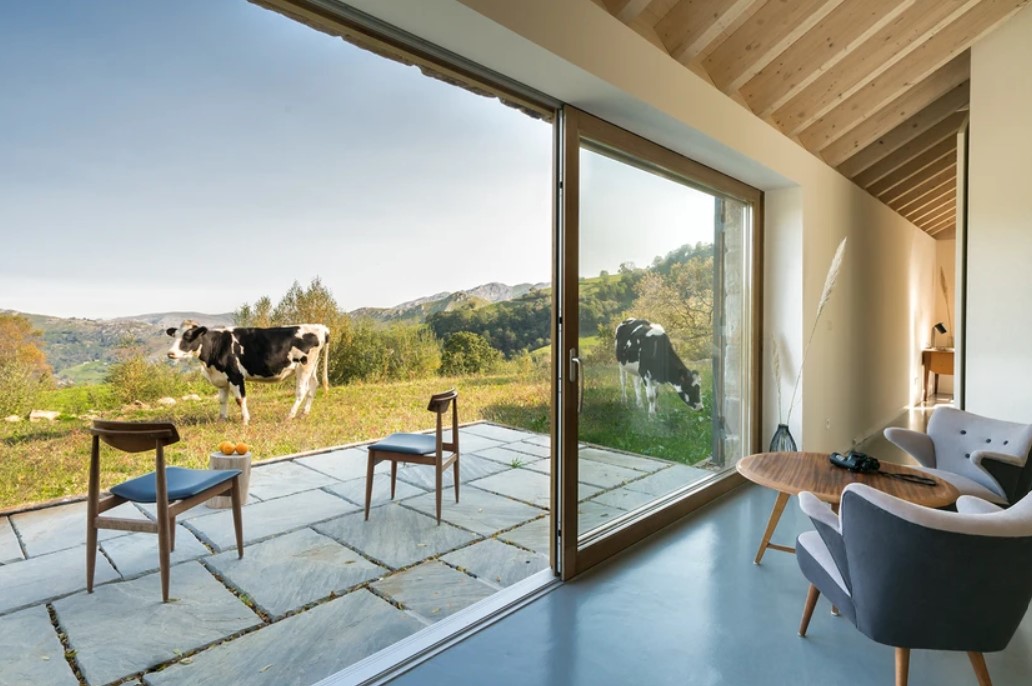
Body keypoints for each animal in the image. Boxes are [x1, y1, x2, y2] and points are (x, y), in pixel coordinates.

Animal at [167, 319, 330, 422]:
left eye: (188, 336)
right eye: (175, 336)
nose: (170, 353)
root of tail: (320, 327)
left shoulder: (236, 375)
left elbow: (240, 399)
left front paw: (245, 420)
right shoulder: (222, 378)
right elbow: (222, 400)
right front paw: (221, 420)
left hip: (304, 365)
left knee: (302, 391)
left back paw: (290, 416)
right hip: (312, 366)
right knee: (313, 386)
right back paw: (304, 413)